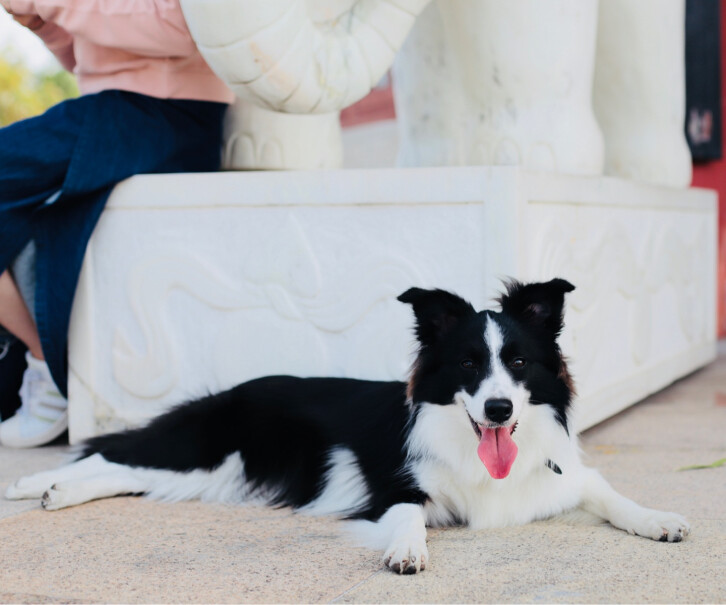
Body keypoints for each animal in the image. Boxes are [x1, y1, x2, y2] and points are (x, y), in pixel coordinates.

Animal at [5, 278, 692, 572]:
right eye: (469, 364)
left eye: (519, 362)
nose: (499, 410)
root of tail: (235, 388)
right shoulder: (395, 489)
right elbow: (409, 517)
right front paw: (407, 551)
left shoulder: (560, 475)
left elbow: (611, 493)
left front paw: (660, 520)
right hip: (201, 449)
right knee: (110, 456)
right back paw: (35, 486)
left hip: (210, 472)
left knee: (122, 471)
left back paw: (49, 491)